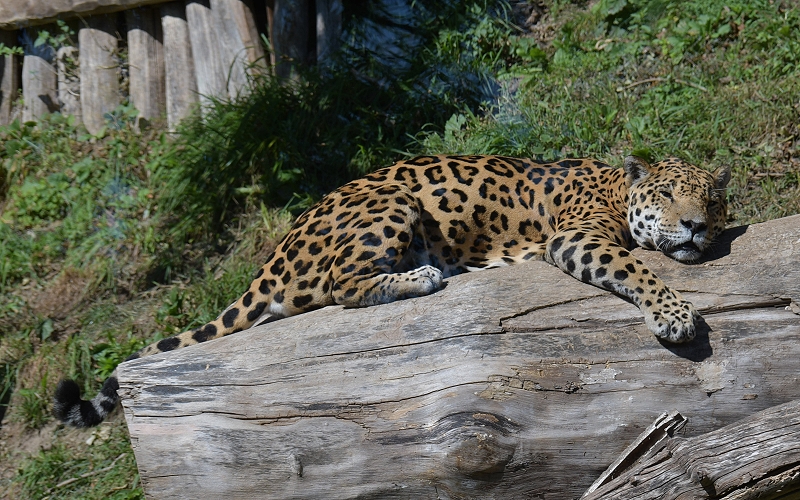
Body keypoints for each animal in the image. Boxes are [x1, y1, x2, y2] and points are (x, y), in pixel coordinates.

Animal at [54, 154, 730, 427]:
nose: (696, 225)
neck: (616, 187)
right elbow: (638, 270)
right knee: (340, 285)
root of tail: (276, 250)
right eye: (668, 195)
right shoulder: (577, 237)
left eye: (711, 198)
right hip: (391, 201)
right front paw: (675, 316)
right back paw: (424, 275)